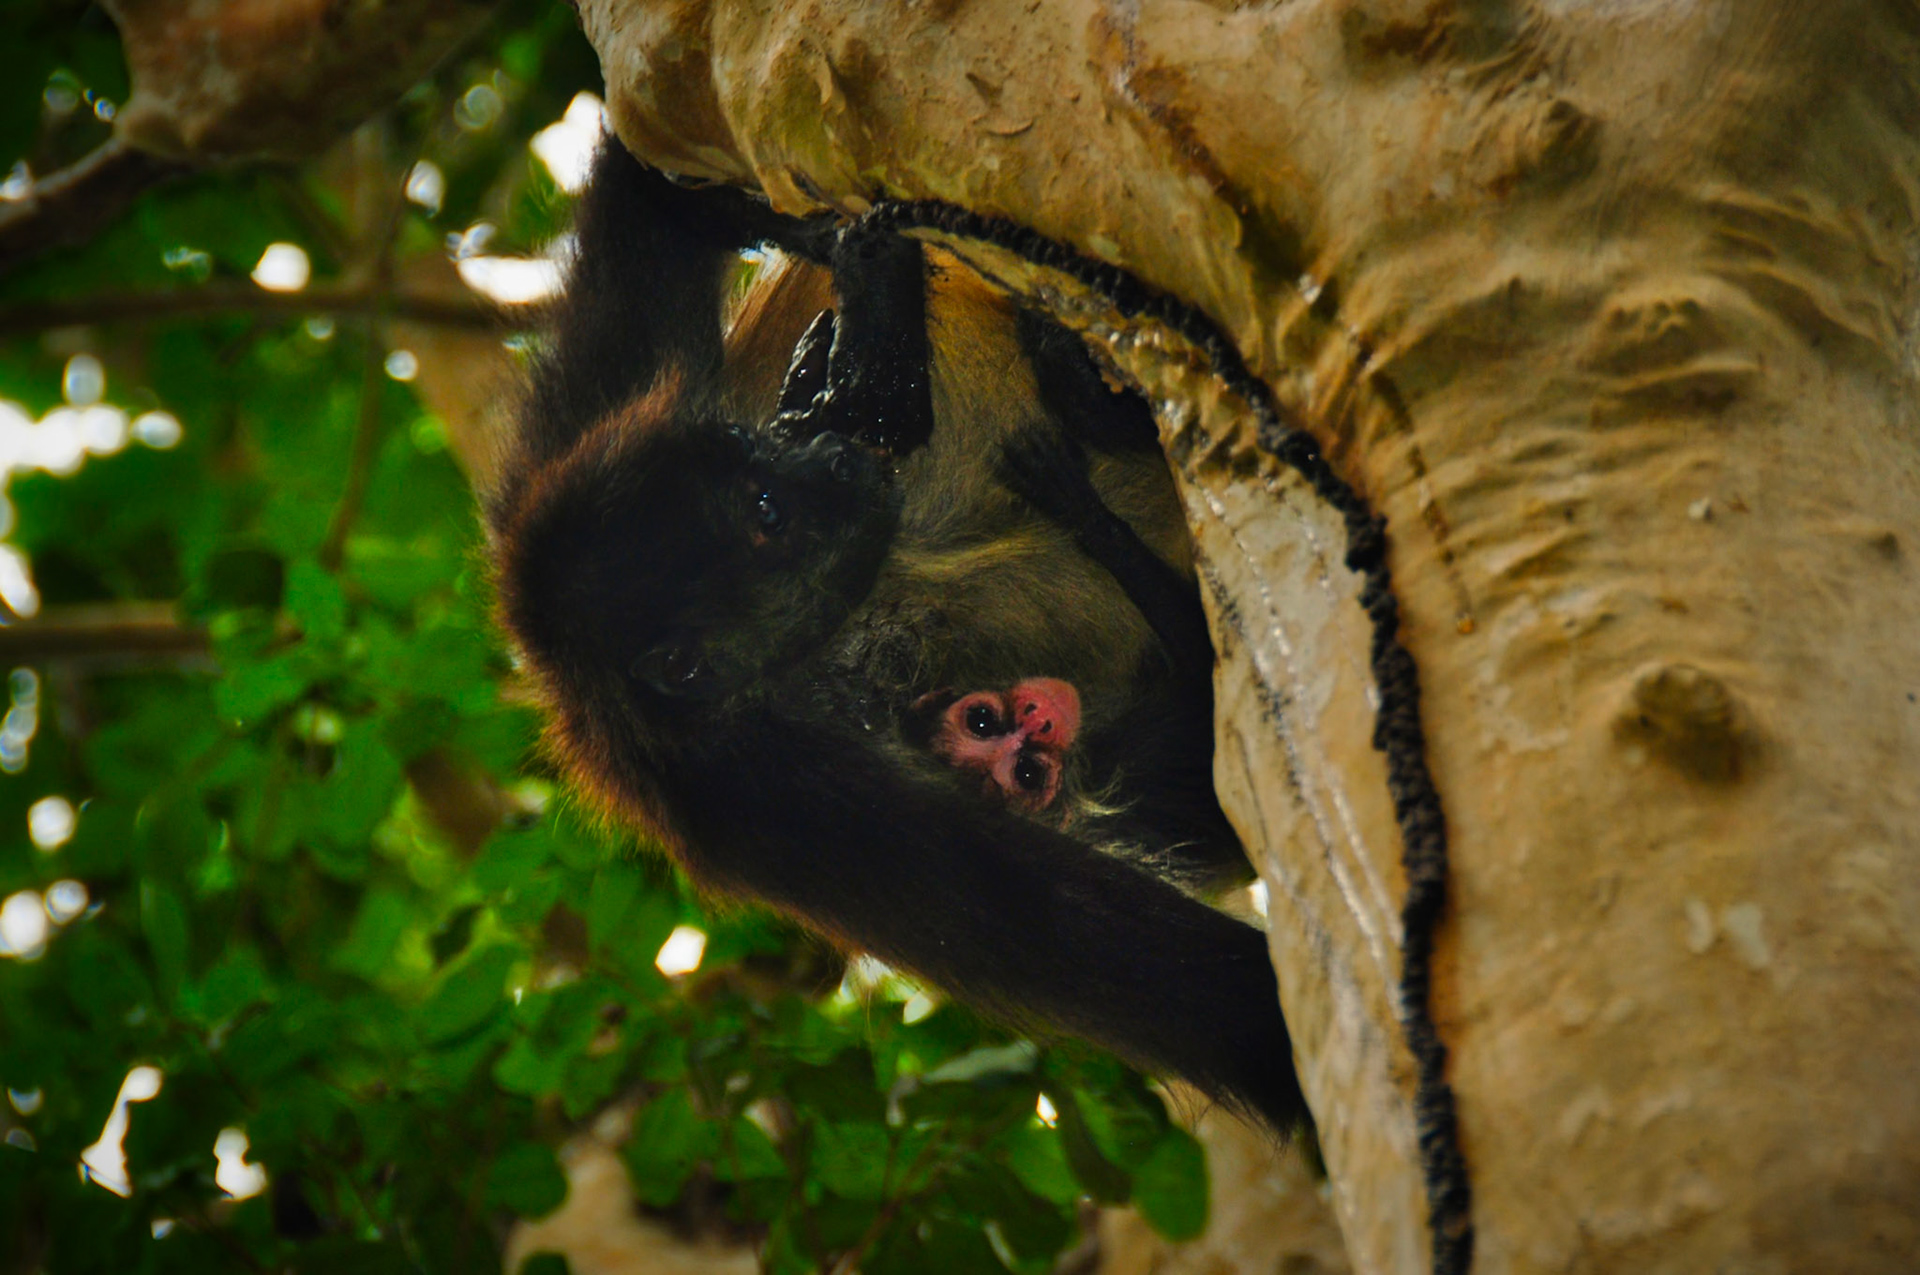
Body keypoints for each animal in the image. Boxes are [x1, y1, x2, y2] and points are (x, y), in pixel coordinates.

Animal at [486, 136, 1303, 1131]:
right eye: (769, 511)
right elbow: (1219, 1002)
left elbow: (642, 233)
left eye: (760, 467)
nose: (831, 456)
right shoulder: (760, 793)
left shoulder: (570, 469)